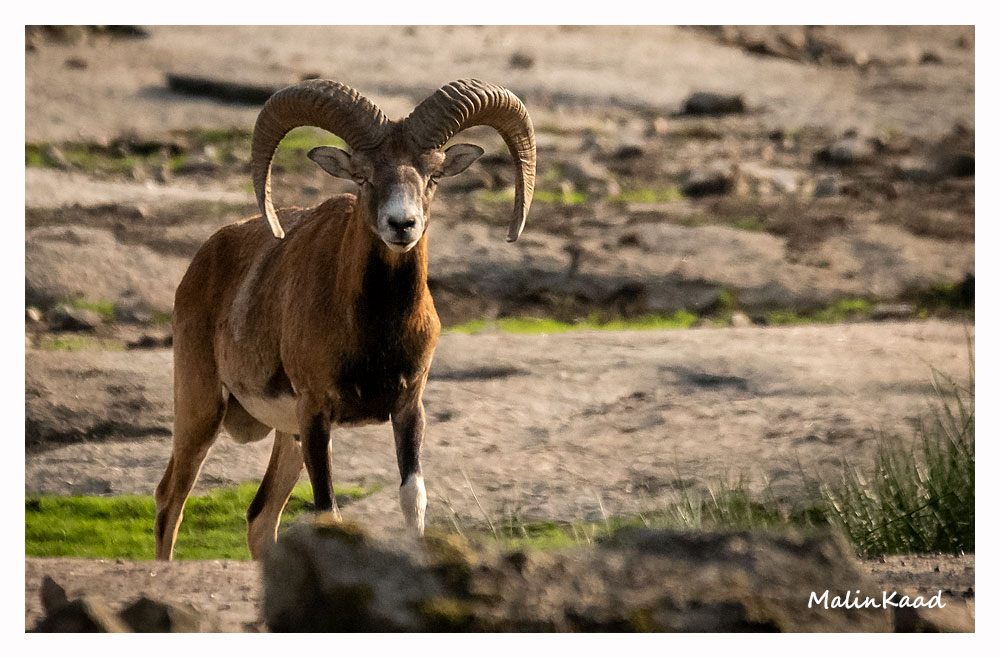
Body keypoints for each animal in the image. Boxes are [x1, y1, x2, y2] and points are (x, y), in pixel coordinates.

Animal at [153, 79, 536, 560]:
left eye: (432, 176)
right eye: (363, 176)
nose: (402, 224)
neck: (375, 334)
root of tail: (201, 262)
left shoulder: (408, 409)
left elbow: (413, 499)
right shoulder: (316, 413)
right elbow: (328, 512)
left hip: (287, 438)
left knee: (260, 518)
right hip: (202, 411)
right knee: (171, 500)